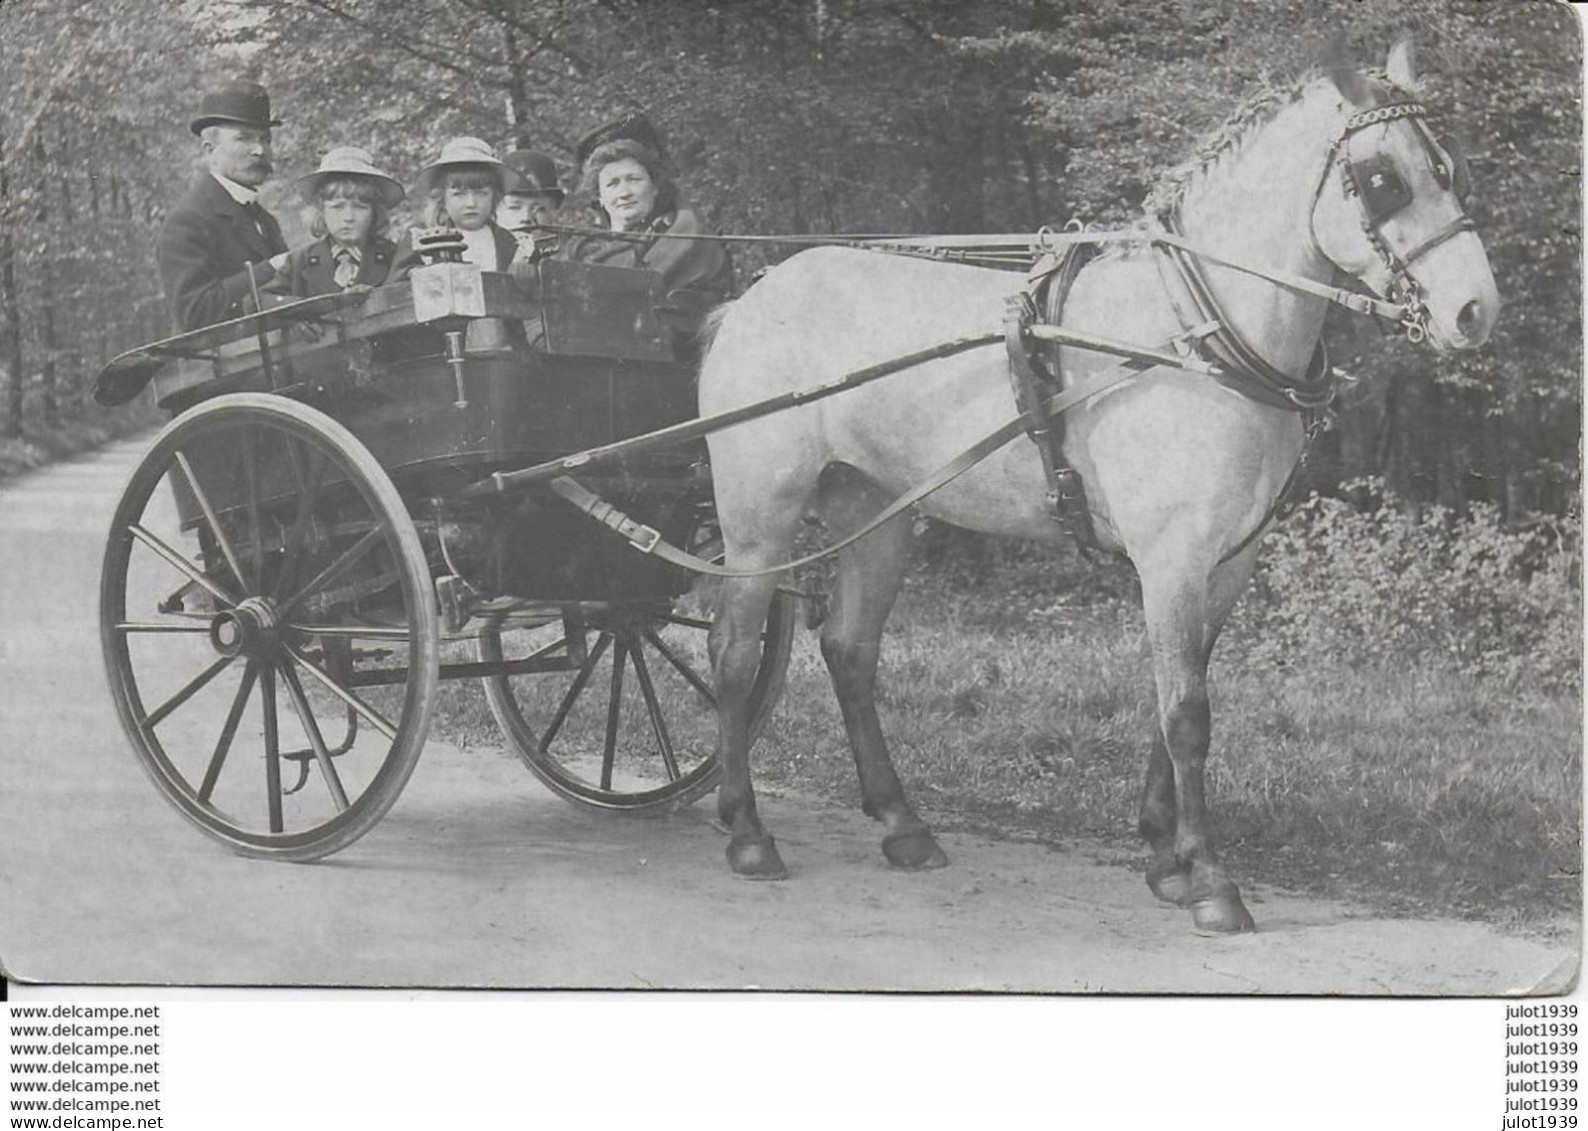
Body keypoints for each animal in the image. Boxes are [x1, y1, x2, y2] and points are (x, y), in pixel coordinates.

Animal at [698, 41, 1499, 927]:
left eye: (1450, 167)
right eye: (1383, 178)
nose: (1475, 309)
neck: (1191, 337)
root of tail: (753, 296)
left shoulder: (1225, 562)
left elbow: (1176, 694)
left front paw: (1165, 853)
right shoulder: (1172, 557)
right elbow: (1187, 713)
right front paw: (1210, 880)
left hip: (877, 513)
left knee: (849, 649)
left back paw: (903, 824)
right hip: (758, 520)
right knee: (732, 652)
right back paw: (745, 831)